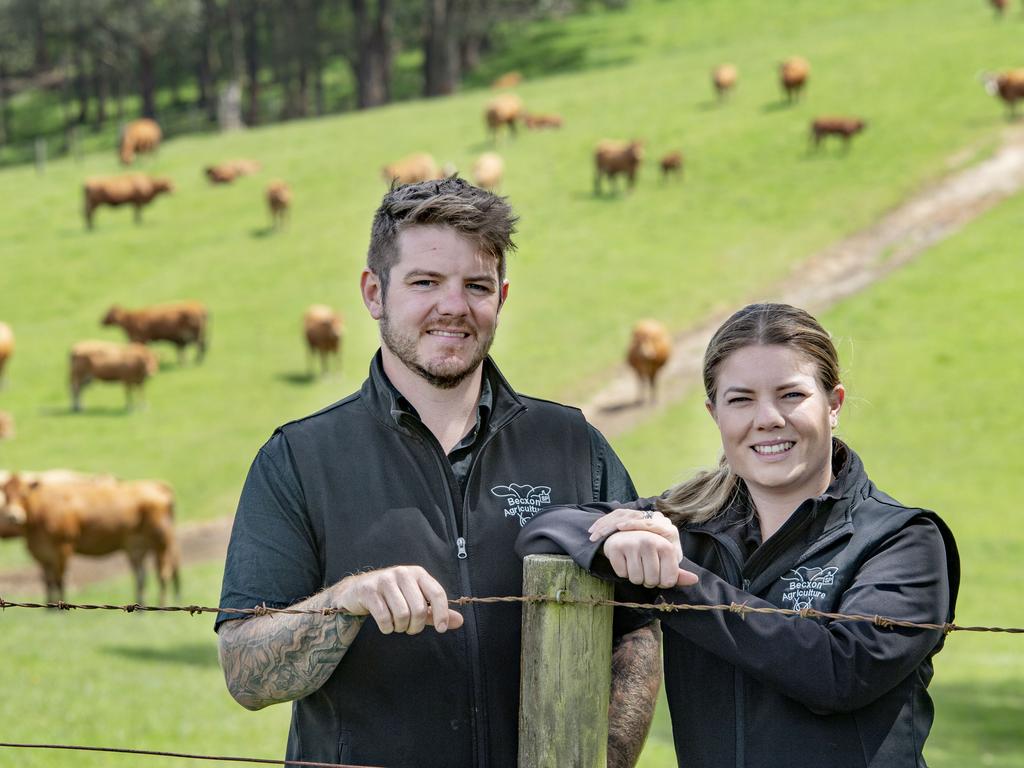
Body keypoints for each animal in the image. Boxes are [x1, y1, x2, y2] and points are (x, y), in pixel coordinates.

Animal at [0, 475, 180, 606]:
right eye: (6, 496)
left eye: (23, 494)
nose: (14, 516)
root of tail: (158, 486)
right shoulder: (41, 552)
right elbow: (48, 580)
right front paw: (49, 608)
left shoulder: (63, 547)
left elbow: (60, 579)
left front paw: (60, 609)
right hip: (137, 545)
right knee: (141, 576)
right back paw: (140, 608)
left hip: (160, 541)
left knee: (163, 573)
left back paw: (161, 607)